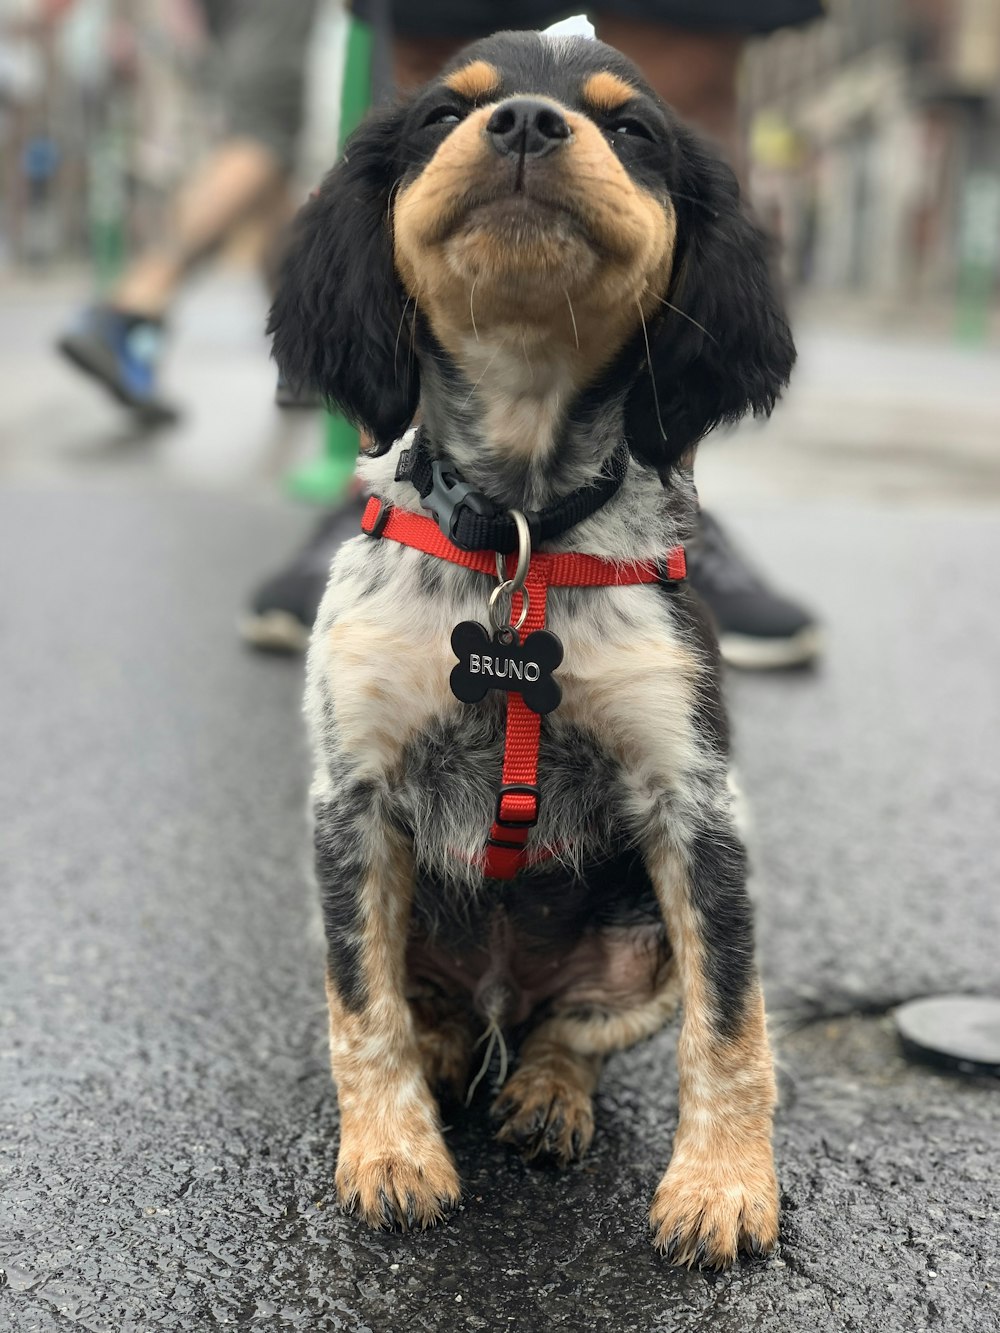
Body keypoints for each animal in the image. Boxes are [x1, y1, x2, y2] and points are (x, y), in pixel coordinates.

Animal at [268, 23, 800, 1269]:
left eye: (633, 128)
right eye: (439, 114)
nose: (520, 123)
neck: (516, 528)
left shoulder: (697, 804)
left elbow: (732, 1022)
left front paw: (722, 1184)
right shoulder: (350, 801)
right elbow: (361, 1013)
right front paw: (393, 1153)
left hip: (637, 944)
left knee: (568, 1029)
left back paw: (547, 1093)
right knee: (424, 1012)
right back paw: (450, 1061)